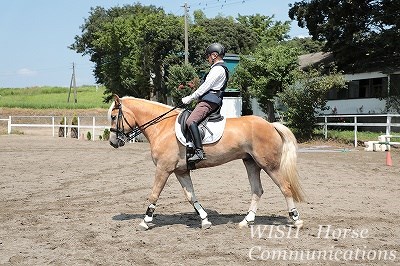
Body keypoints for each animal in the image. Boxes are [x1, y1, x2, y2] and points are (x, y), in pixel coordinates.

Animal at [108, 95, 304, 231]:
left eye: (113, 116)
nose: (113, 142)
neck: (162, 128)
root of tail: (270, 125)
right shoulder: (181, 171)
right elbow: (191, 196)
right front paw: (205, 220)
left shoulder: (163, 169)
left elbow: (154, 194)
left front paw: (145, 221)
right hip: (251, 163)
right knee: (257, 191)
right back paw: (246, 221)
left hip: (270, 165)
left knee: (285, 188)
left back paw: (296, 220)